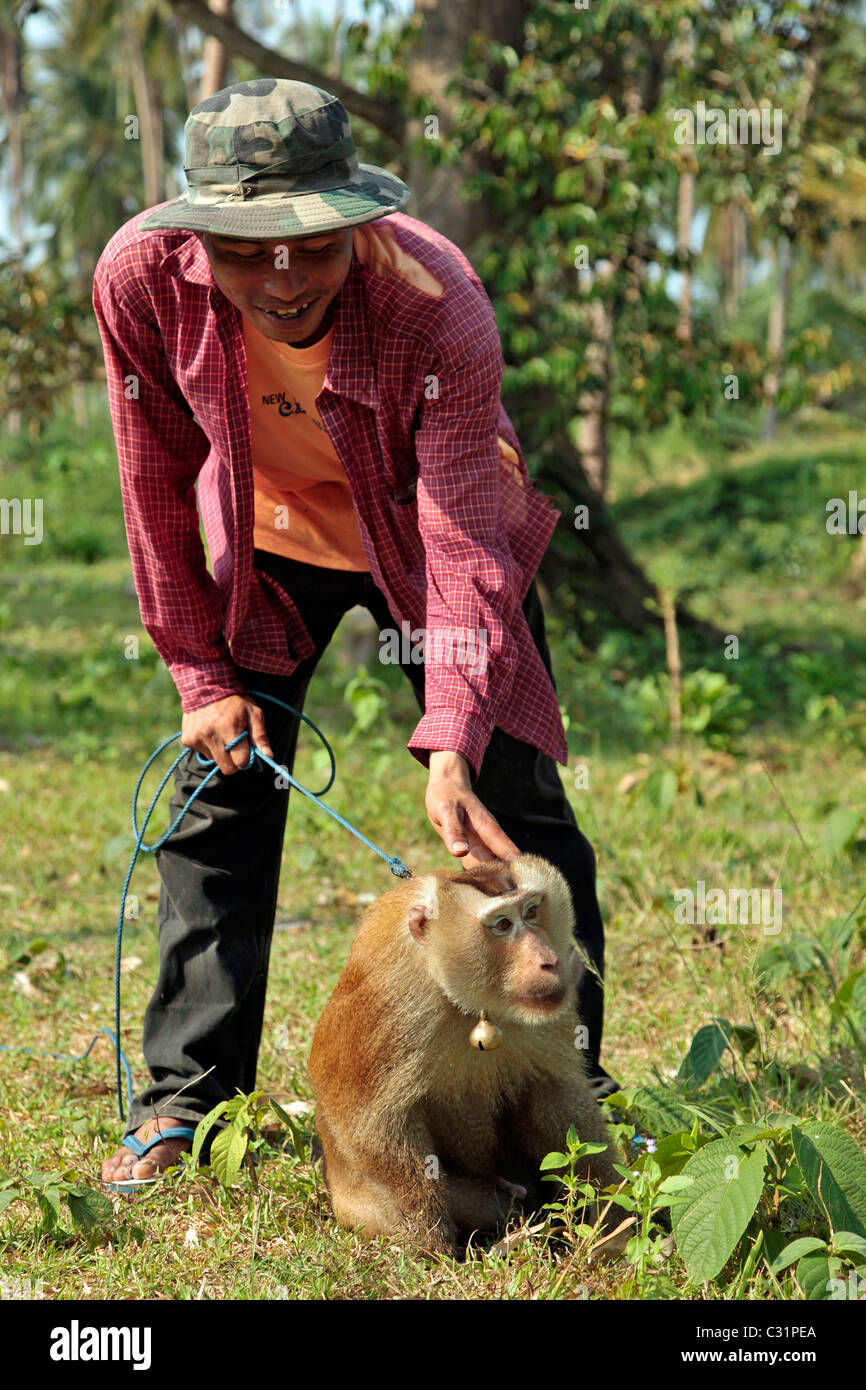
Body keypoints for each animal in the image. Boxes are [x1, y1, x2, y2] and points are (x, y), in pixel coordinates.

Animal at [308, 850, 619, 1256]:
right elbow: (372, 1123)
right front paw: (434, 1245)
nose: (549, 960)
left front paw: (615, 1225)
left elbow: (556, 1095)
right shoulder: (392, 1007)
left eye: (531, 911)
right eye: (502, 924)